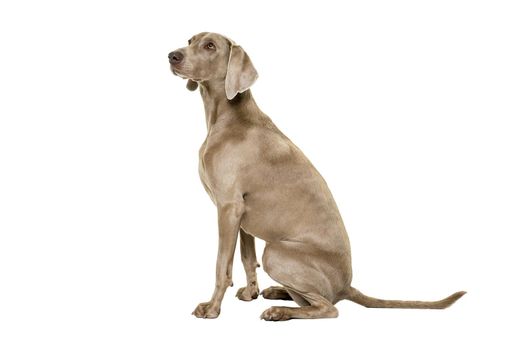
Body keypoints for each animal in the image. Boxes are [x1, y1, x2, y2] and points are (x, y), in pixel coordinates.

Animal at [167, 32, 462, 320]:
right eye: (190, 40)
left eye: (210, 46)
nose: (172, 55)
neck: (228, 116)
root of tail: (346, 286)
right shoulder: (240, 214)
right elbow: (247, 259)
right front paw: (251, 293)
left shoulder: (228, 207)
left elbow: (222, 265)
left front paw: (212, 308)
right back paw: (276, 293)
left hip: (276, 251)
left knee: (328, 307)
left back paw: (279, 311)